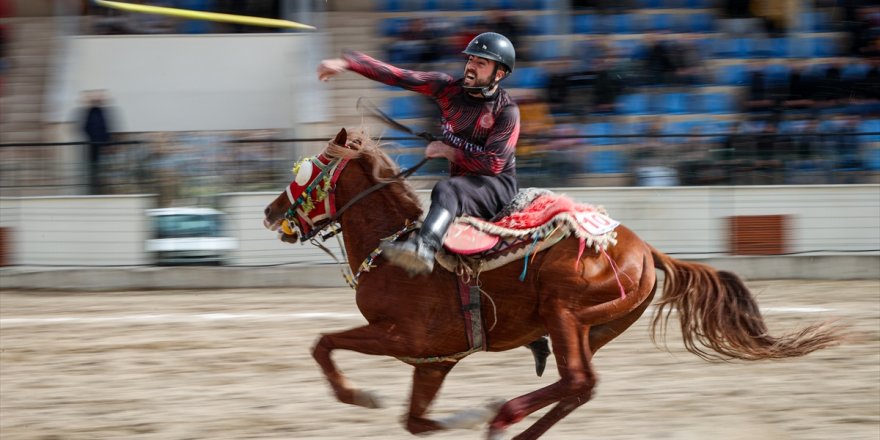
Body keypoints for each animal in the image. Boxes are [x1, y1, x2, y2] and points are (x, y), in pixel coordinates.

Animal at [262, 129, 844, 440]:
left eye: (306, 170)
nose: (270, 212)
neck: (395, 246)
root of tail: (645, 250)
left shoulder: (400, 338)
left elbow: (324, 344)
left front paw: (358, 396)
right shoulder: (434, 360)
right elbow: (418, 422)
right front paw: (459, 415)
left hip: (566, 315)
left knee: (578, 381)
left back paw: (503, 415)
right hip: (593, 328)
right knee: (577, 387)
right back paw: (508, 421)